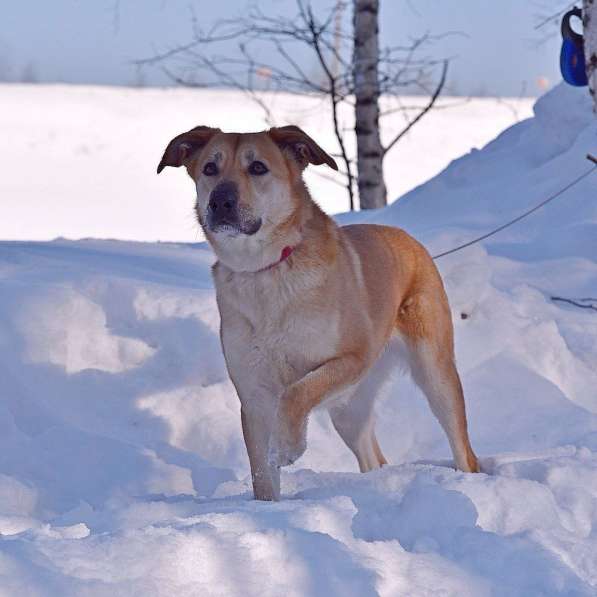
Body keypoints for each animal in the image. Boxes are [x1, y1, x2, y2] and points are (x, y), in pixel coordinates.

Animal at [158, 124, 480, 498]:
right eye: (210, 168)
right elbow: (262, 473)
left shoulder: (351, 358)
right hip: (350, 408)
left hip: (433, 371)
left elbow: (297, 392)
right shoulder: (254, 394)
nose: (220, 201)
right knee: (373, 458)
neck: (266, 271)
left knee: (463, 448)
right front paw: (268, 504)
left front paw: (287, 446)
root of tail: (410, 241)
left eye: (258, 167)